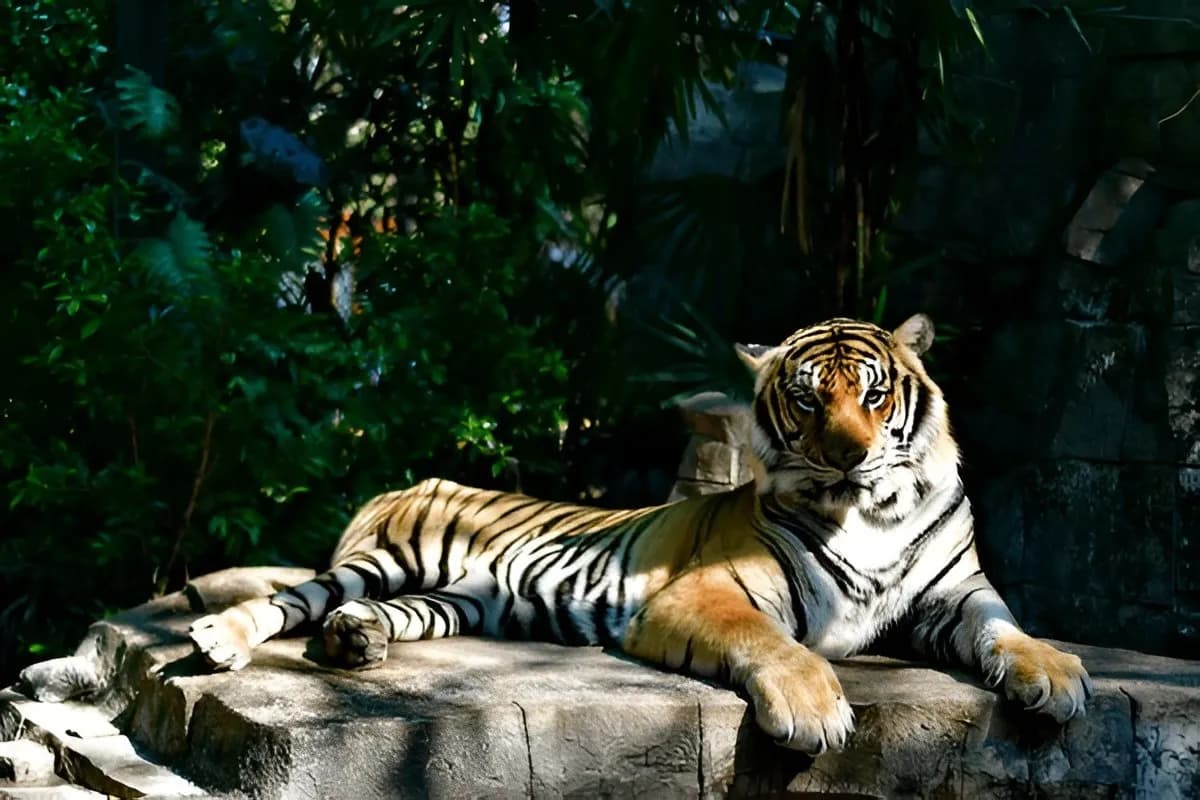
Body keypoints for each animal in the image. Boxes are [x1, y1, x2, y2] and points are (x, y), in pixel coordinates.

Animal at [188, 313, 1092, 754]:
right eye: (806, 399)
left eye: (873, 396)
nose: (848, 456)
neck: (874, 510)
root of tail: (406, 478)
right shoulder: (710, 590)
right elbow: (773, 643)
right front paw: (812, 711)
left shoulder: (953, 594)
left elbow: (1006, 626)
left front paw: (1055, 675)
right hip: (386, 558)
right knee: (290, 597)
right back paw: (220, 639)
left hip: (458, 599)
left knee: (387, 612)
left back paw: (356, 642)